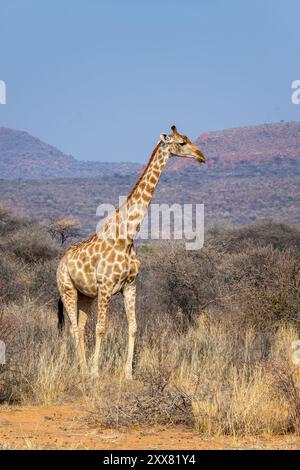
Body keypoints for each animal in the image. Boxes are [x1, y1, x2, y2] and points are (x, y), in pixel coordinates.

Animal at [56, 126, 205, 380]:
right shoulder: (106, 287)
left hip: (86, 295)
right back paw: (84, 370)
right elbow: (101, 329)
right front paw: (96, 372)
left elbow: (133, 327)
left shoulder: (130, 286)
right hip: (67, 288)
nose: (201, 156)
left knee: (81, 326)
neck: (126, 237)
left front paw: (128, 374)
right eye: (182, 143)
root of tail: (60, 263)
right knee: (74, 328)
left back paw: (83, 368)